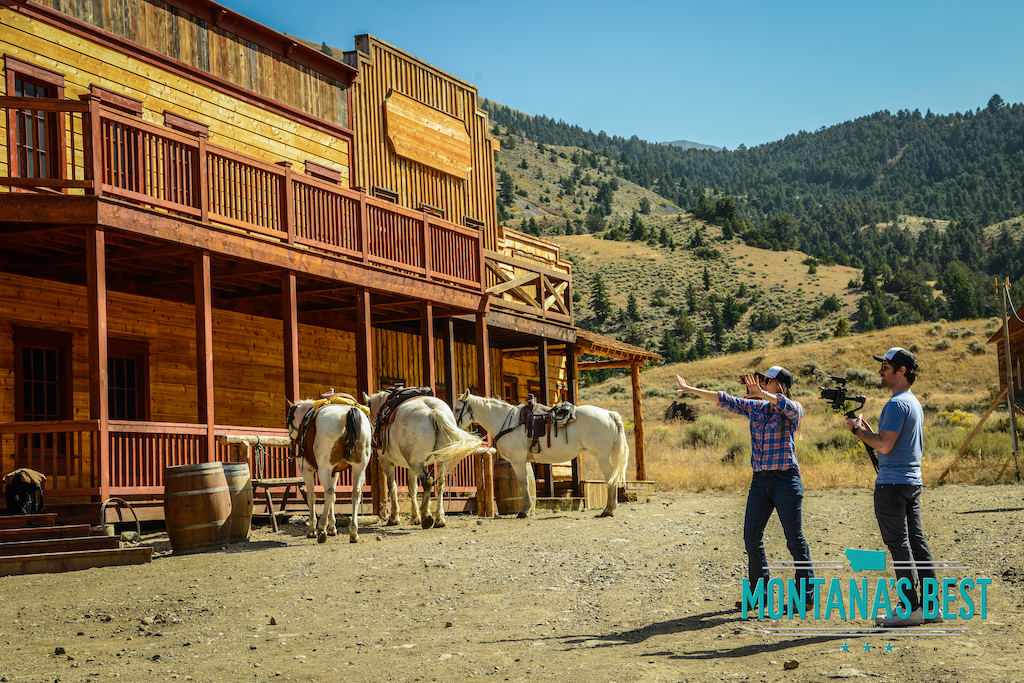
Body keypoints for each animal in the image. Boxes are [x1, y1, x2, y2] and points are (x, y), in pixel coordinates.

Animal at [284, 395, 372, 544]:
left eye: (288, 421)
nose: (291, 441)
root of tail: (348, 411)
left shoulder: (307, 470)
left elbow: (312, 496)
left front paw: (313, 529)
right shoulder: (334, 472)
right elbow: (334, 498)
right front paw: (332, 528)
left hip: (324, 469)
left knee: (329, 492)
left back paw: (321, 528)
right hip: (359, 467)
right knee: (355, 493)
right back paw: (353, 531)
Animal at [366, 389, 493, 528]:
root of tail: (433, 411)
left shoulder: (386, 461)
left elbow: (392, 486)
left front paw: (394, 518)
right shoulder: (409, 466)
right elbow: (413, 487)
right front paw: (415, 517)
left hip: (416, 462)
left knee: (427, 481)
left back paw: (426, 516)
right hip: (439, 460)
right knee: (440, 483)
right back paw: (439, 519)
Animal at [452, 389, 626, 518]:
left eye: (457, 409)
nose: (453, 427)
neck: (508, 422)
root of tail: (609, 414)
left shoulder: (517, 460)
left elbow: (523, 483)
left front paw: (524, 511)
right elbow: (527, 484)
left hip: (602, 456)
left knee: (611, 477)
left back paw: (608, 510)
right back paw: (609, 509)